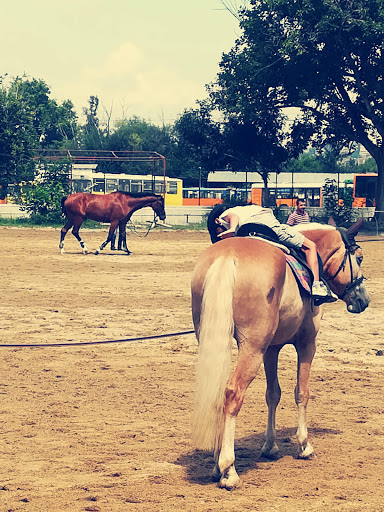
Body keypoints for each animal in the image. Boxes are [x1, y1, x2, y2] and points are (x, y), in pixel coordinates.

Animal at [191, 221, 368, 492]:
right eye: (358, 257)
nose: (363, 299)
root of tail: (227, 256)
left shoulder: (271, 349)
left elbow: (273, 394)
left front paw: (270, 446)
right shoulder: (307, 344)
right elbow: (301, 393)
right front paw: (304, 445)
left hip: (217, 339)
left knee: (218, 391)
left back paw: (216, 463)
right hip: (252, 348)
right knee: (233, 394)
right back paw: (228, 468)